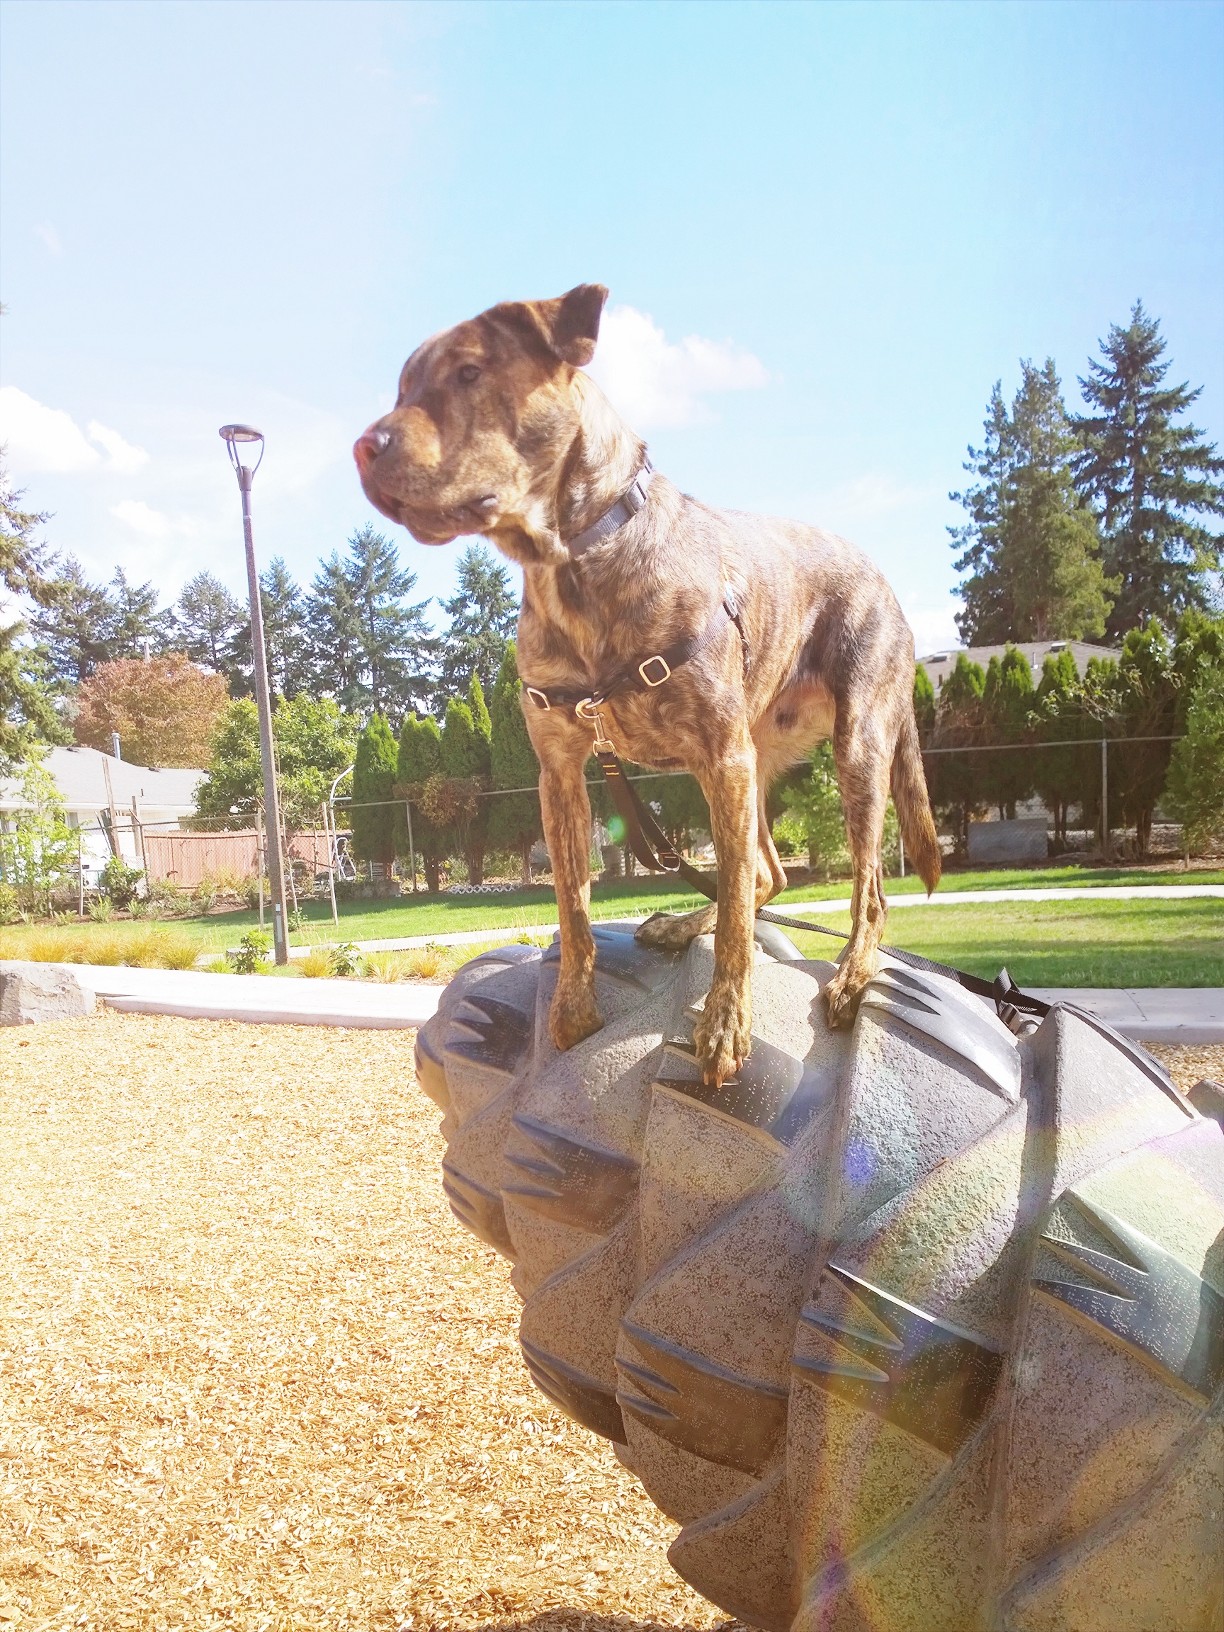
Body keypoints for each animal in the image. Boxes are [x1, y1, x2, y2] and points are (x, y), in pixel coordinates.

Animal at [349, 287, 946, 1090]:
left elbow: (736, 922)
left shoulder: (721, 756)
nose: (363, 447)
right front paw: (572, 1011)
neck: (573, 563)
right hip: (752, 761)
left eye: (469, 373)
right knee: (764, 874)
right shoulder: (562, 772)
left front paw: (725, 1025)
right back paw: (680, 924)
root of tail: (888, 585)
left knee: (861, 891)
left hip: (849, 746)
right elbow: (573, 906)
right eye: (401, 389)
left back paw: (852, 974)